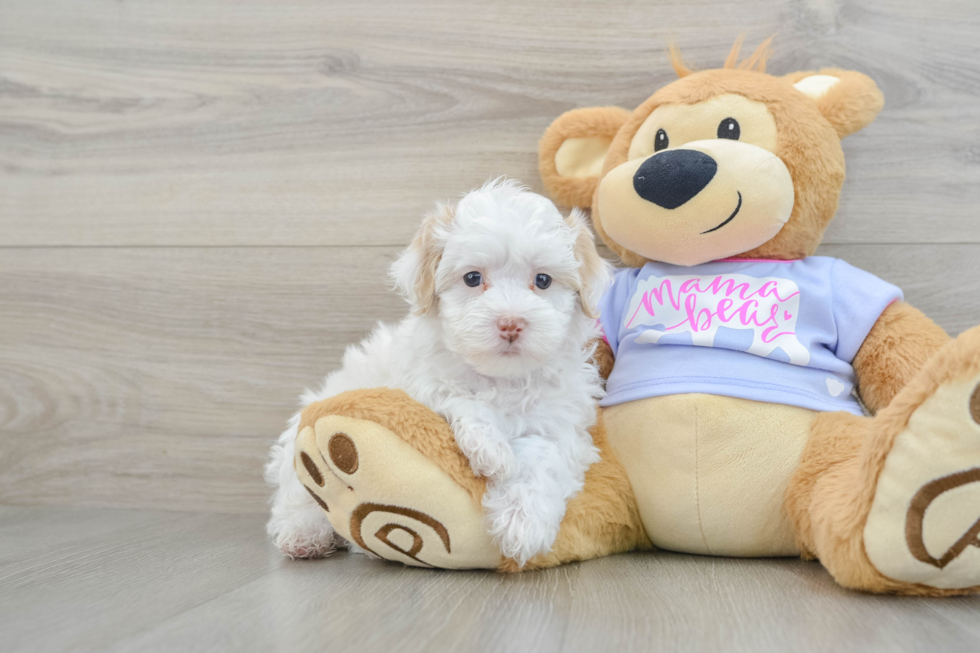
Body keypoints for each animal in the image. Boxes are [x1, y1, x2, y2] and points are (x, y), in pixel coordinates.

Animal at [264, 178, 608, 564]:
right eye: (472, 278)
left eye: (544, 280)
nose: (511, 323)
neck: (501, 379)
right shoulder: (419, 386)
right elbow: (459, 397)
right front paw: (491, 450)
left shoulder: (560, 424)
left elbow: (541, 459)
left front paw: (523, 524)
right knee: (296, 498)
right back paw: (304, 535)